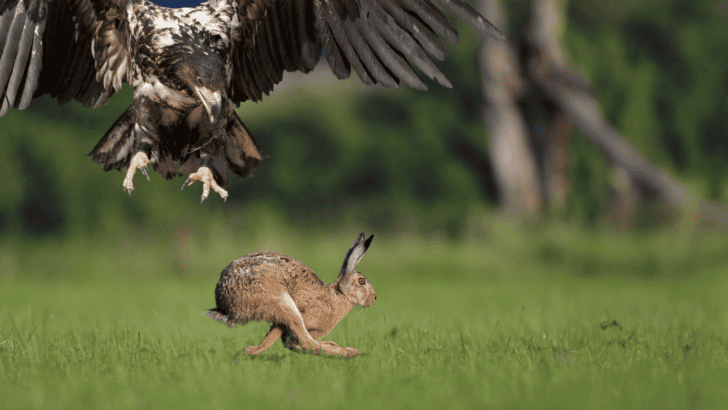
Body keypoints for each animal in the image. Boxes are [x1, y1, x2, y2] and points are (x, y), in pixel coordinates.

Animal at [206, 233, 376, 358]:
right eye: (362, 281)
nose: (374, 298)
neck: (339, 295)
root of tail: (224, 306)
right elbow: (298, 341)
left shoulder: (280, 325)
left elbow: (281, 339)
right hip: (284, 303)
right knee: (307, 341)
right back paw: (349, 352)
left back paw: (247, 352)